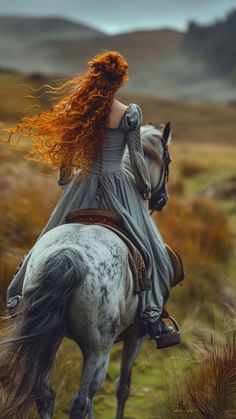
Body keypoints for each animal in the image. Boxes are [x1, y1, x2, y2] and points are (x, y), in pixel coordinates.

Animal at [0, 122, 171, 419]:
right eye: (168, 160)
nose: (161, 199)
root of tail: (68, 255)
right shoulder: (136, 333)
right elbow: (123, 386)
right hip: (98, 350)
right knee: (82, 401)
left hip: (50, 338)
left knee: (44, 394)